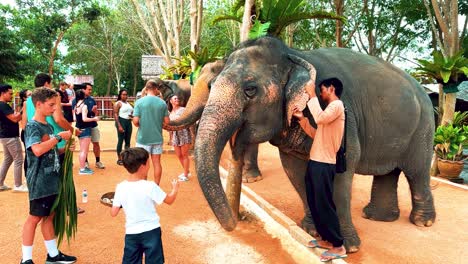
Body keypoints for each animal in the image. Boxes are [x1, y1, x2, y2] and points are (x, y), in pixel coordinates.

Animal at [193, 36, 436, 253]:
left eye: (250, 90)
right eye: (211, 85)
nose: (234, 224)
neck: (294, 54)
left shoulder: (345, 116)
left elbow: (342, 171)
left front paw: (349, 246)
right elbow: (295, 171)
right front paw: (311, 231)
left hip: (424, 127)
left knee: (417, 171)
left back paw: (423, 222)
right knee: (389, 172)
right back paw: (376, 217)